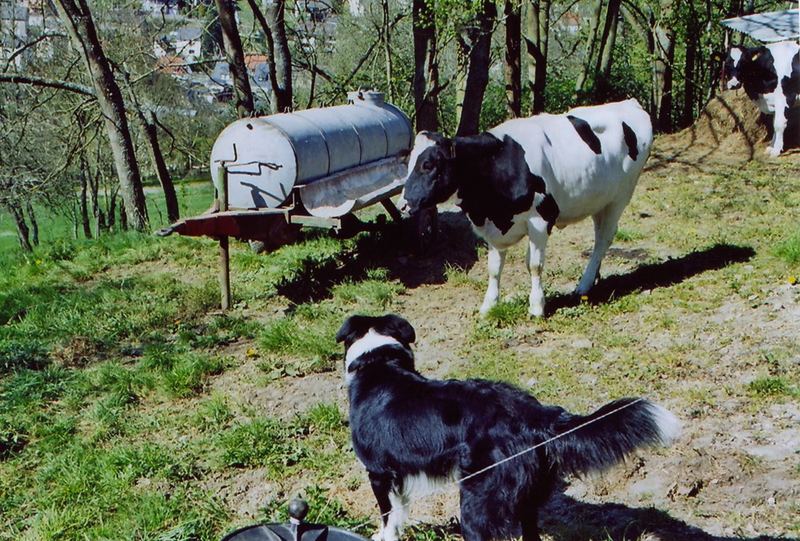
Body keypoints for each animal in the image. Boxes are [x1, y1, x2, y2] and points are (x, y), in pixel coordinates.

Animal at [404, 98, 652, 316]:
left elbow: (534, 265)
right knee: (599, 236)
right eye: (407, 163)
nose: (404, 204)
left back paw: (583, 285)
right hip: (598, 200)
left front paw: (536, 307)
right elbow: (494, 268)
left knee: (603, 239)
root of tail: (629, 103)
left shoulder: (540, 221)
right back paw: (592, 280)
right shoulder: (494, 228)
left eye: (428, 164)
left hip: (620, 197)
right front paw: (488, 306)